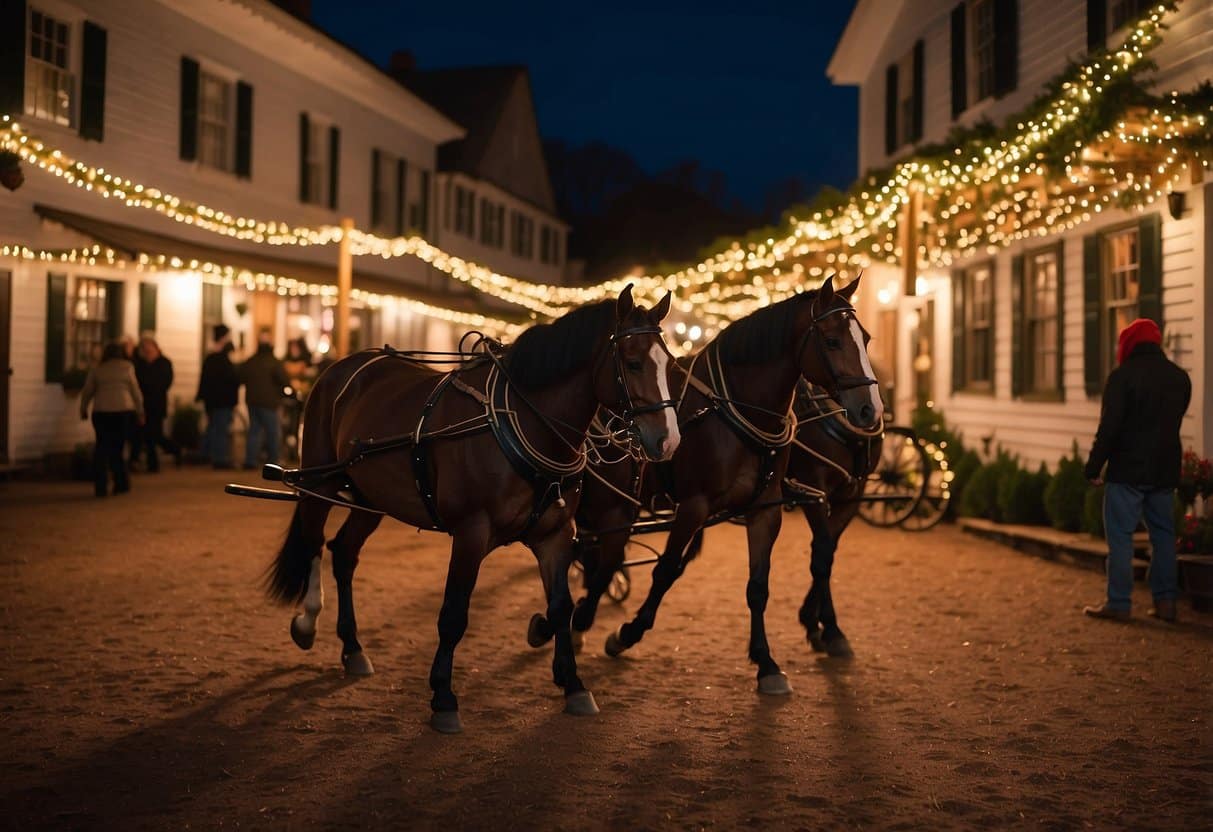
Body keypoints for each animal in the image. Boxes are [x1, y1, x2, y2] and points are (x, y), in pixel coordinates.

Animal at [264, 289, 679, 732]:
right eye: (632, 362)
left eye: (669, 364)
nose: (668, 441)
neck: (519, 424)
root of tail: (343, 367)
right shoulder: (470, 533)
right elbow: (454, 612)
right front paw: (444, 696)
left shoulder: (556, 536)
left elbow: (561, 607)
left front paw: (573, 683)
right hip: (319, 483)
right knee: (312, 542)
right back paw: (308, 621)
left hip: (372, 497)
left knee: (343, 553)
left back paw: (353, 647)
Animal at [550, 276, 883, 693]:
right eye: (834, 341)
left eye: (866, 338)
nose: (871, 410)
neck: (732, 410)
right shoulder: (699, 506)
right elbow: (665, 570)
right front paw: (625, 633)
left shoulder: (771, 509)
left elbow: (762, 584)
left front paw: (769, 661)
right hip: (606, 505)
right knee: (597, 558)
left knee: (600, 558)